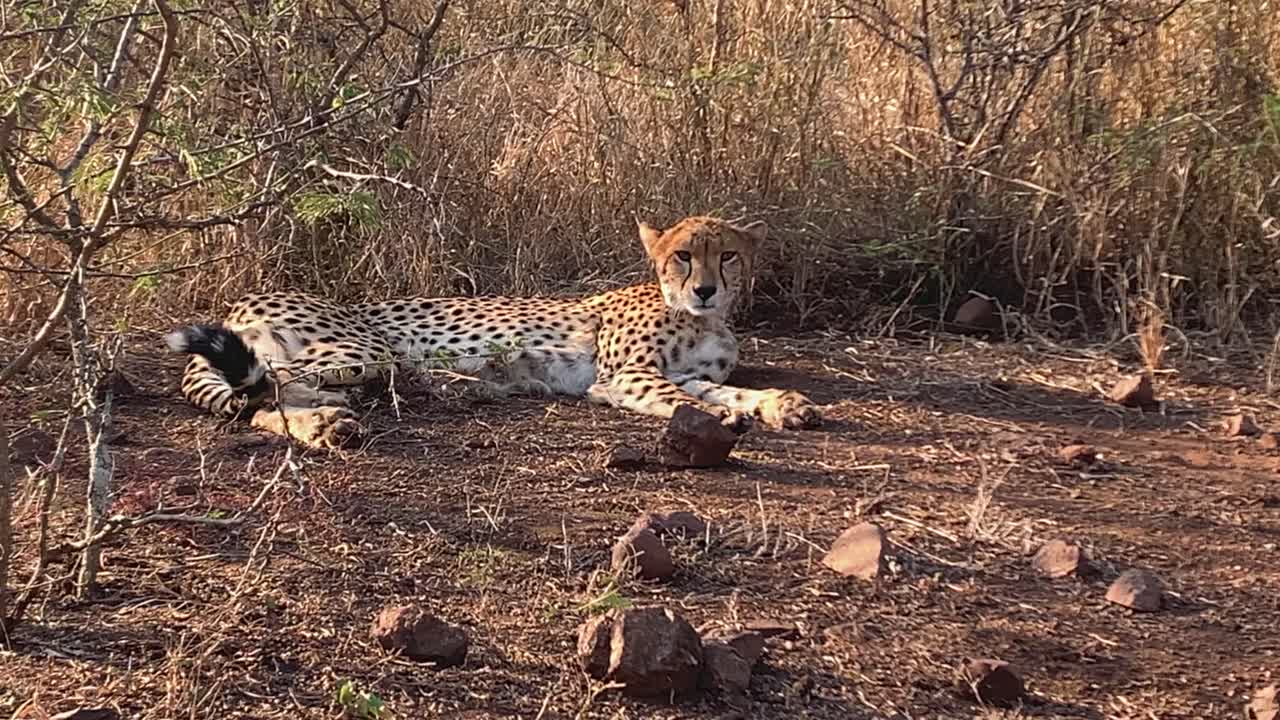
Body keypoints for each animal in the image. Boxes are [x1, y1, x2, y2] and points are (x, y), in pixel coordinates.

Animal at [164, 214, 823, 449]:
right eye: (683, 256)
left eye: (728, 256)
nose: (705, 288)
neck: (702, 318)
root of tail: (243, 297)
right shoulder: (625, 377)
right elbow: (688, 399)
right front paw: (722, 421)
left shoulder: (685, 372)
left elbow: (723, 389)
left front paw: (779, 403)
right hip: (362, 348)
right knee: (266, 390)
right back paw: (324, 425)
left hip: (355, 365)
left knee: (264, 397)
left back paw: (336, 418)